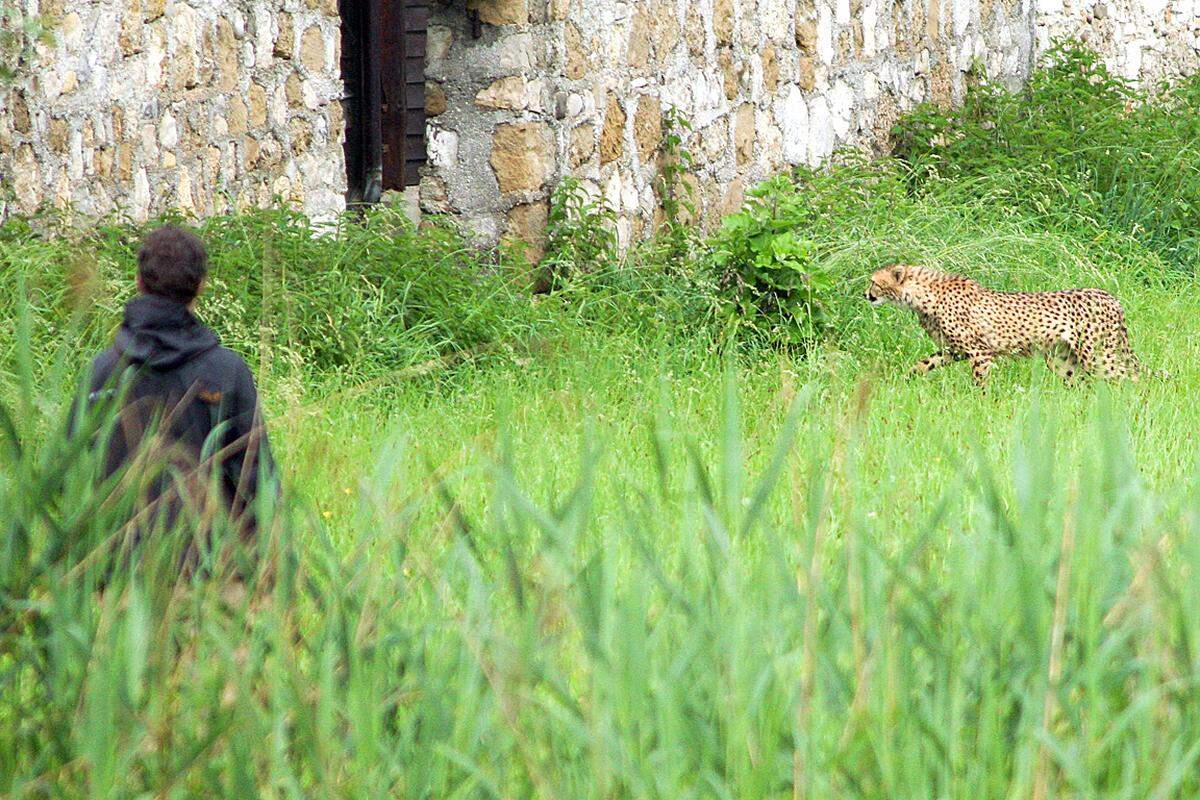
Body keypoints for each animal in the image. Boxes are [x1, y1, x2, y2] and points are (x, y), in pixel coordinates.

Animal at [864, 263, 1142, 386]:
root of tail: (1111, 297)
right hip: (1062, 359)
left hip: (1096, 356)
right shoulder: (954, 350)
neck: (923, 295)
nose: (866, 294)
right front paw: (903, 379)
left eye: (874, 282)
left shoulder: (980, 352)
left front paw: (979, 406)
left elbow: (980, 383)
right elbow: (924, 363)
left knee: (1134, 376)